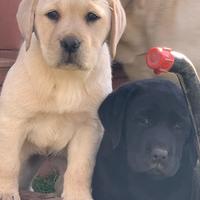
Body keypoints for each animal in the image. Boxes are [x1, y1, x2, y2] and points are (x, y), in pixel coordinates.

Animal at [0, 0, 126, 200]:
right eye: (52, 14)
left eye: (92, 16)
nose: (70, 43)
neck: (65, 78)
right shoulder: (12, 122)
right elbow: (8, 163)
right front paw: (6, 192)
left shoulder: (89, 128)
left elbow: (80, 168)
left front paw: (78, 195)